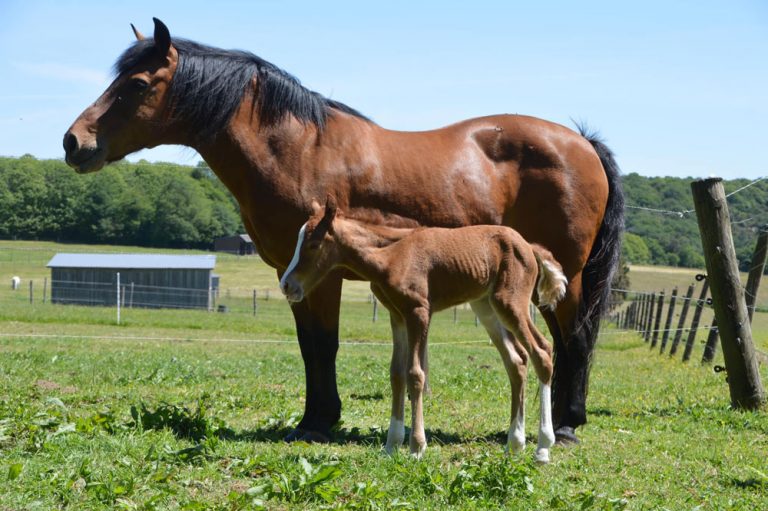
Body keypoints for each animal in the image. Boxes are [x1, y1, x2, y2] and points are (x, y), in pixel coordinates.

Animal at [282, 201, 564, 464]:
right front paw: (391, 445)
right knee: (516, 360)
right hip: (486, 307)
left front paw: (417, 447)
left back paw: (543, 448)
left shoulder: (418, 312)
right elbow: (396, 374)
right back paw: (514, 444)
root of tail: (528, 246)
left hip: (511, 304)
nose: (286, 285)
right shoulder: (397, 316)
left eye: (313, 245)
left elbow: (415, 374)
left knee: (541, 352)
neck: (392, 255)